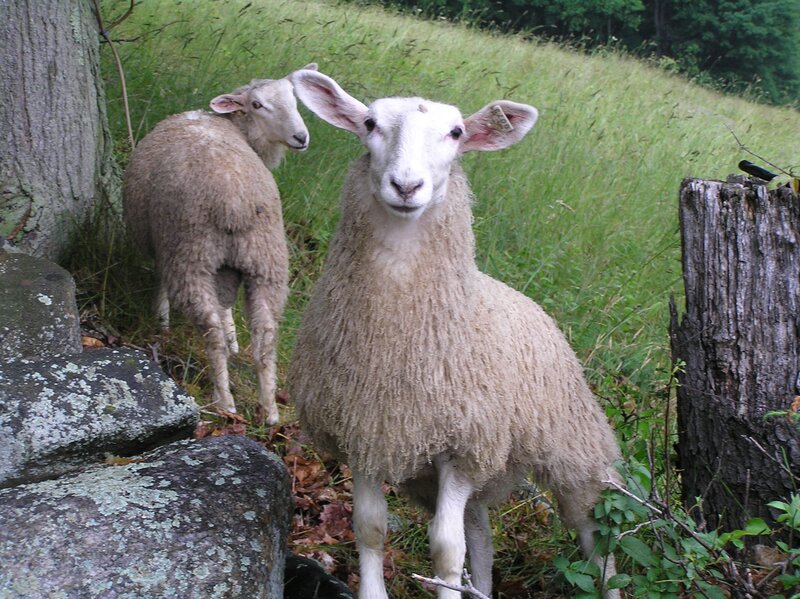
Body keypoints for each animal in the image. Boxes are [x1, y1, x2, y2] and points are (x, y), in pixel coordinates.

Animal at [123, 64, 317, 424]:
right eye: (257, 104)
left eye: (295, 98)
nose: (301, 137)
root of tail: (234, 200)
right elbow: (227, 303)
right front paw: (234, 339)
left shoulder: (164, 245)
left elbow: (162, 281)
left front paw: (161, 321)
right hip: (266, 260)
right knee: (266, 336)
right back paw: (269, 410)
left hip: (190, 255)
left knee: (209, 330)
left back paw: (224, 401)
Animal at [288, 69, 622, 599]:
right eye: (369, 123)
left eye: (457, 133)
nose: (406, 186)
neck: (393, 334)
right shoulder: (364, 432)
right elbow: (370, 529)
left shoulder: (463, 447)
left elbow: (445, 550)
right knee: (481, 535)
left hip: (574, 452)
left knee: (596, 539)